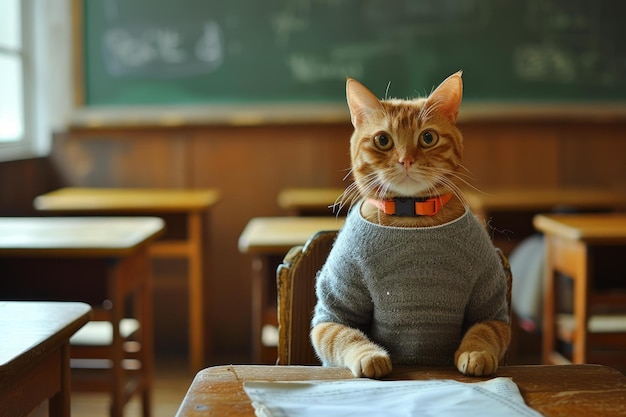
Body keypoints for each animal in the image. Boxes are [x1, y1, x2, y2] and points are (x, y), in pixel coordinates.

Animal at [310, 71, 510, 376]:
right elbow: (345, 335)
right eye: (383, 140)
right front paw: (369, 355)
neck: (411, 217)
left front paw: (476, 352)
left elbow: (483, 331)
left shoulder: (491, 309)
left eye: (428, 137)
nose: (406, 159)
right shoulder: (332, 314)